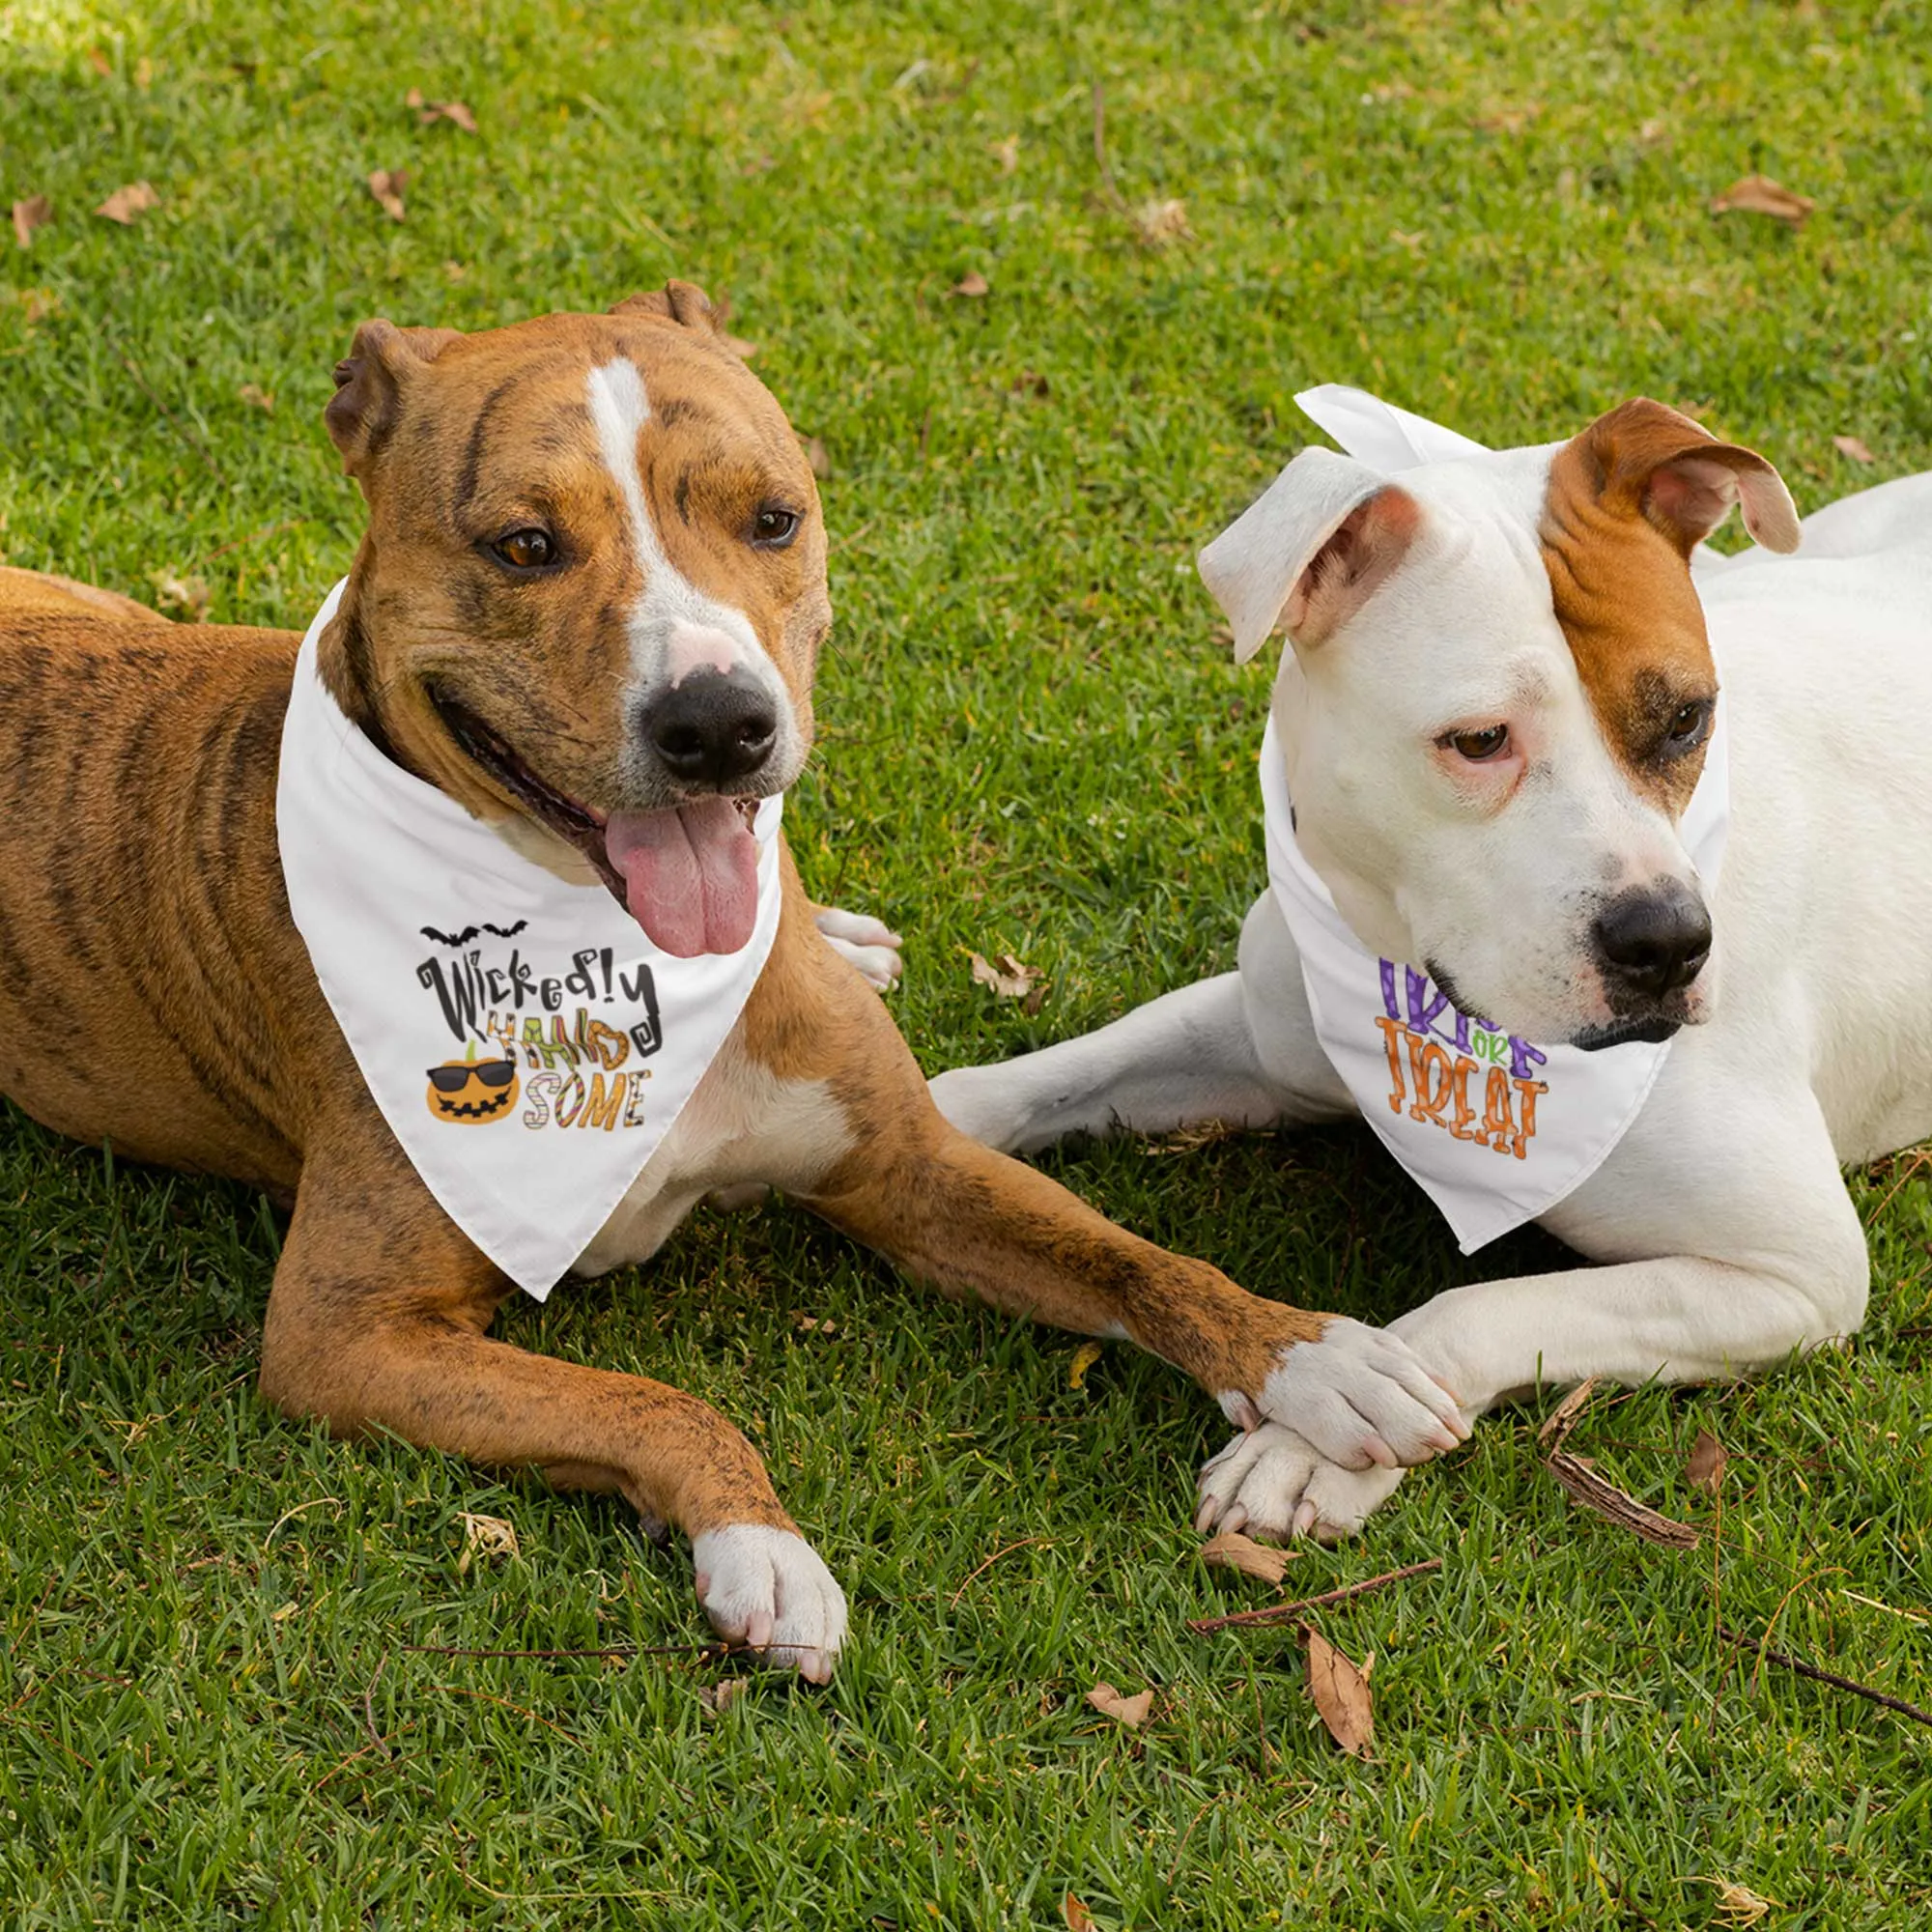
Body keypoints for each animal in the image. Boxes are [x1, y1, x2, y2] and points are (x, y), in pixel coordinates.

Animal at [927, 388, 1924, 1538]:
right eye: (1480, 739)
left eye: (1685, 718)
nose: (1668, 942)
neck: (1409, 977)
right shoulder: (1268, 1033)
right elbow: (1050, 1074)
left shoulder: (1795, 1272)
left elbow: (1479, 1306)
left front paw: (1311, 1441)